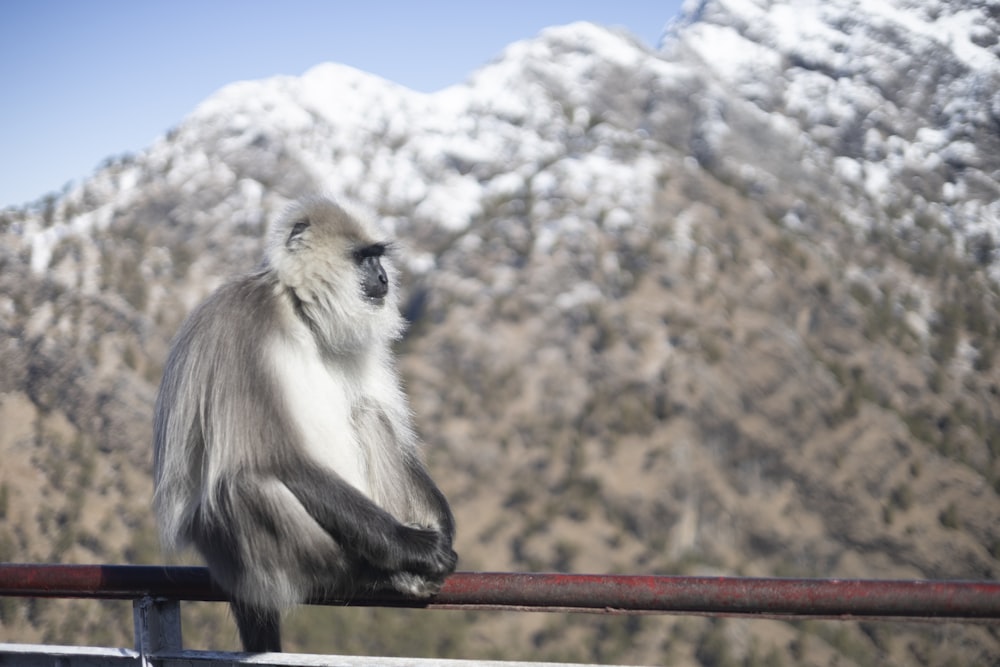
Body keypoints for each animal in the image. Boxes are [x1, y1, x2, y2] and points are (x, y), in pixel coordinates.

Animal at [151, 196, 458, 656]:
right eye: (364, 258)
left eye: (378, 256)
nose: (383, 278)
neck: (299, 313)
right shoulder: (248, 323)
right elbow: (279, 458)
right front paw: (417, 547)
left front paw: (443, 532)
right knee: (245, 483)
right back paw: (372, 571)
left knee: (368, 414)